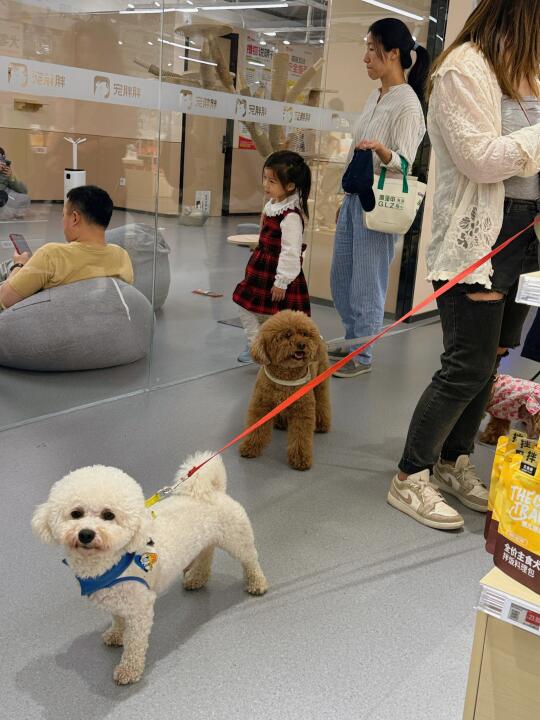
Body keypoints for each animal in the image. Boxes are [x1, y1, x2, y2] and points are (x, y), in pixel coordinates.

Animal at [32, 453, 267, 685]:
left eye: (108, 515)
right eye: (76, 513)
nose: (86, 534)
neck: (109, 562)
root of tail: (214, 489)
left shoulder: (139, 608)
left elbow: (134, 643)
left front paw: (129, 670)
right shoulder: (116, 600)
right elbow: (118, 620)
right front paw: (115, 635)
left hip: (237, 539)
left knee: (250, 559)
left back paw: (257, 583)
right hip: (206, 541)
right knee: (206, 555)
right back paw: (197, 578)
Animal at [239, 310, 331, 470]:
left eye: (304, 334)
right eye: (287, 335)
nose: (302, 344)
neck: (286, 376)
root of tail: (320, 339)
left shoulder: (302, 410)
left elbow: (301, 436)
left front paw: (300, 459)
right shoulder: (261, 405)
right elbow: (256, 427)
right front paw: (250, 447)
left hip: (320, 383)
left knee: (322, 403)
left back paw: (322, 424)